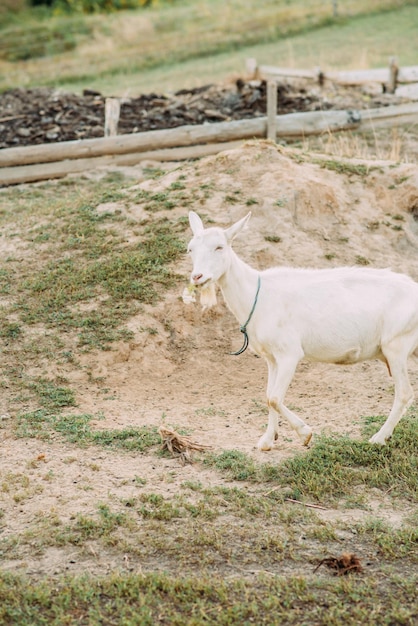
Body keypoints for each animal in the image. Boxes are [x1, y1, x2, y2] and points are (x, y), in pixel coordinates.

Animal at [188, 211, 418, 448]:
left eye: (219, 247)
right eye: (190, 249)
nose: (197, 277)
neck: (257, 295)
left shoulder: (289, 353)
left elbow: (275, 398)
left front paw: (305, 433)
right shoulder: (272, 358)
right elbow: (268, 396)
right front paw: (267, 440)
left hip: (396, 345)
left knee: (404, 393)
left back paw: (379, 438)